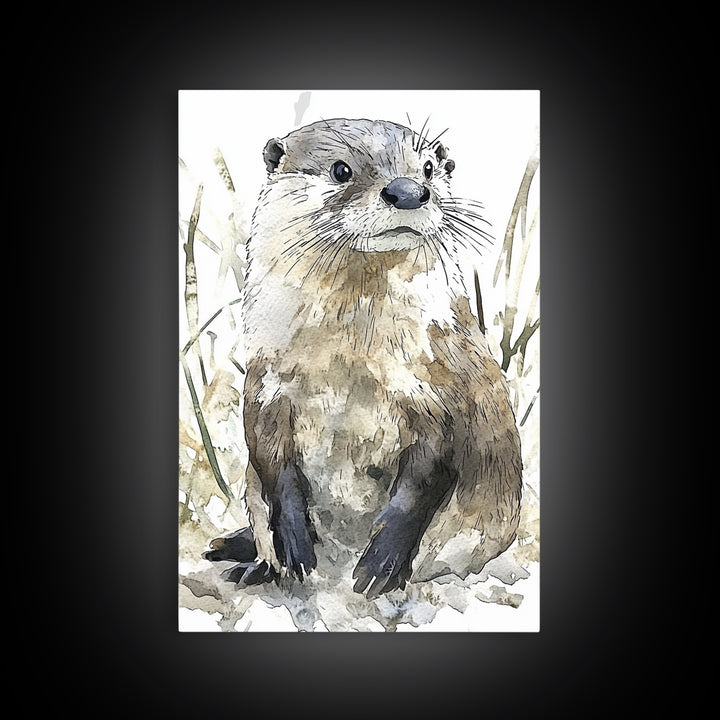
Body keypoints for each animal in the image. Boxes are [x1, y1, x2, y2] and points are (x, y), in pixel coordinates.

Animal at [205, 118, 523, 600]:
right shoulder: (265, 385)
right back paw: (255, 565)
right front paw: (293, 546)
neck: (348, 365)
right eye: (341, 169)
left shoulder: (442, 389)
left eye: (428, 167)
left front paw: (380, 564)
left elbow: (424, 478)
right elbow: (271, 462)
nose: (408, 191)